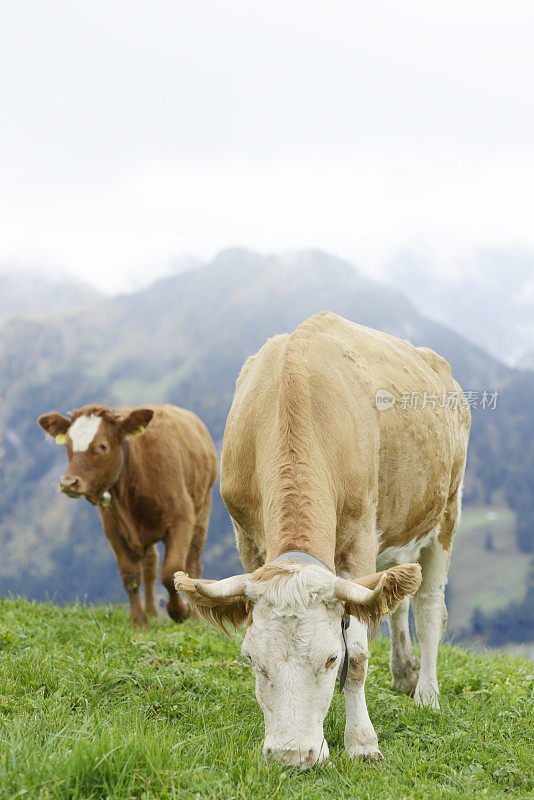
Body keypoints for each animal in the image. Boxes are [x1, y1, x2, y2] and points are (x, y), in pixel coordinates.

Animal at [37, 406, 219, 624]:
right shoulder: (114, 529)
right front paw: (139, 621)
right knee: (150, 566)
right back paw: (152, 612)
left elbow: (171, 571)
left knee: (193, 560)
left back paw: (195, 618)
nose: (68, 482)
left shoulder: (182, 519)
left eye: (102, 446)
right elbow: (130, 575)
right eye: (68, 445)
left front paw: (179, 612)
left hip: (202, 510)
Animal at [175, 312, 468, 768]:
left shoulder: (361, 538)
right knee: (397, 596)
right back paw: (405, 672)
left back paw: (427, 695)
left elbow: (360, 651)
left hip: (446, 512)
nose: (292, 755)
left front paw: (361, 742)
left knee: (429, 609)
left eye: (332, 658)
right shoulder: (246, 539)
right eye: (251, 658)